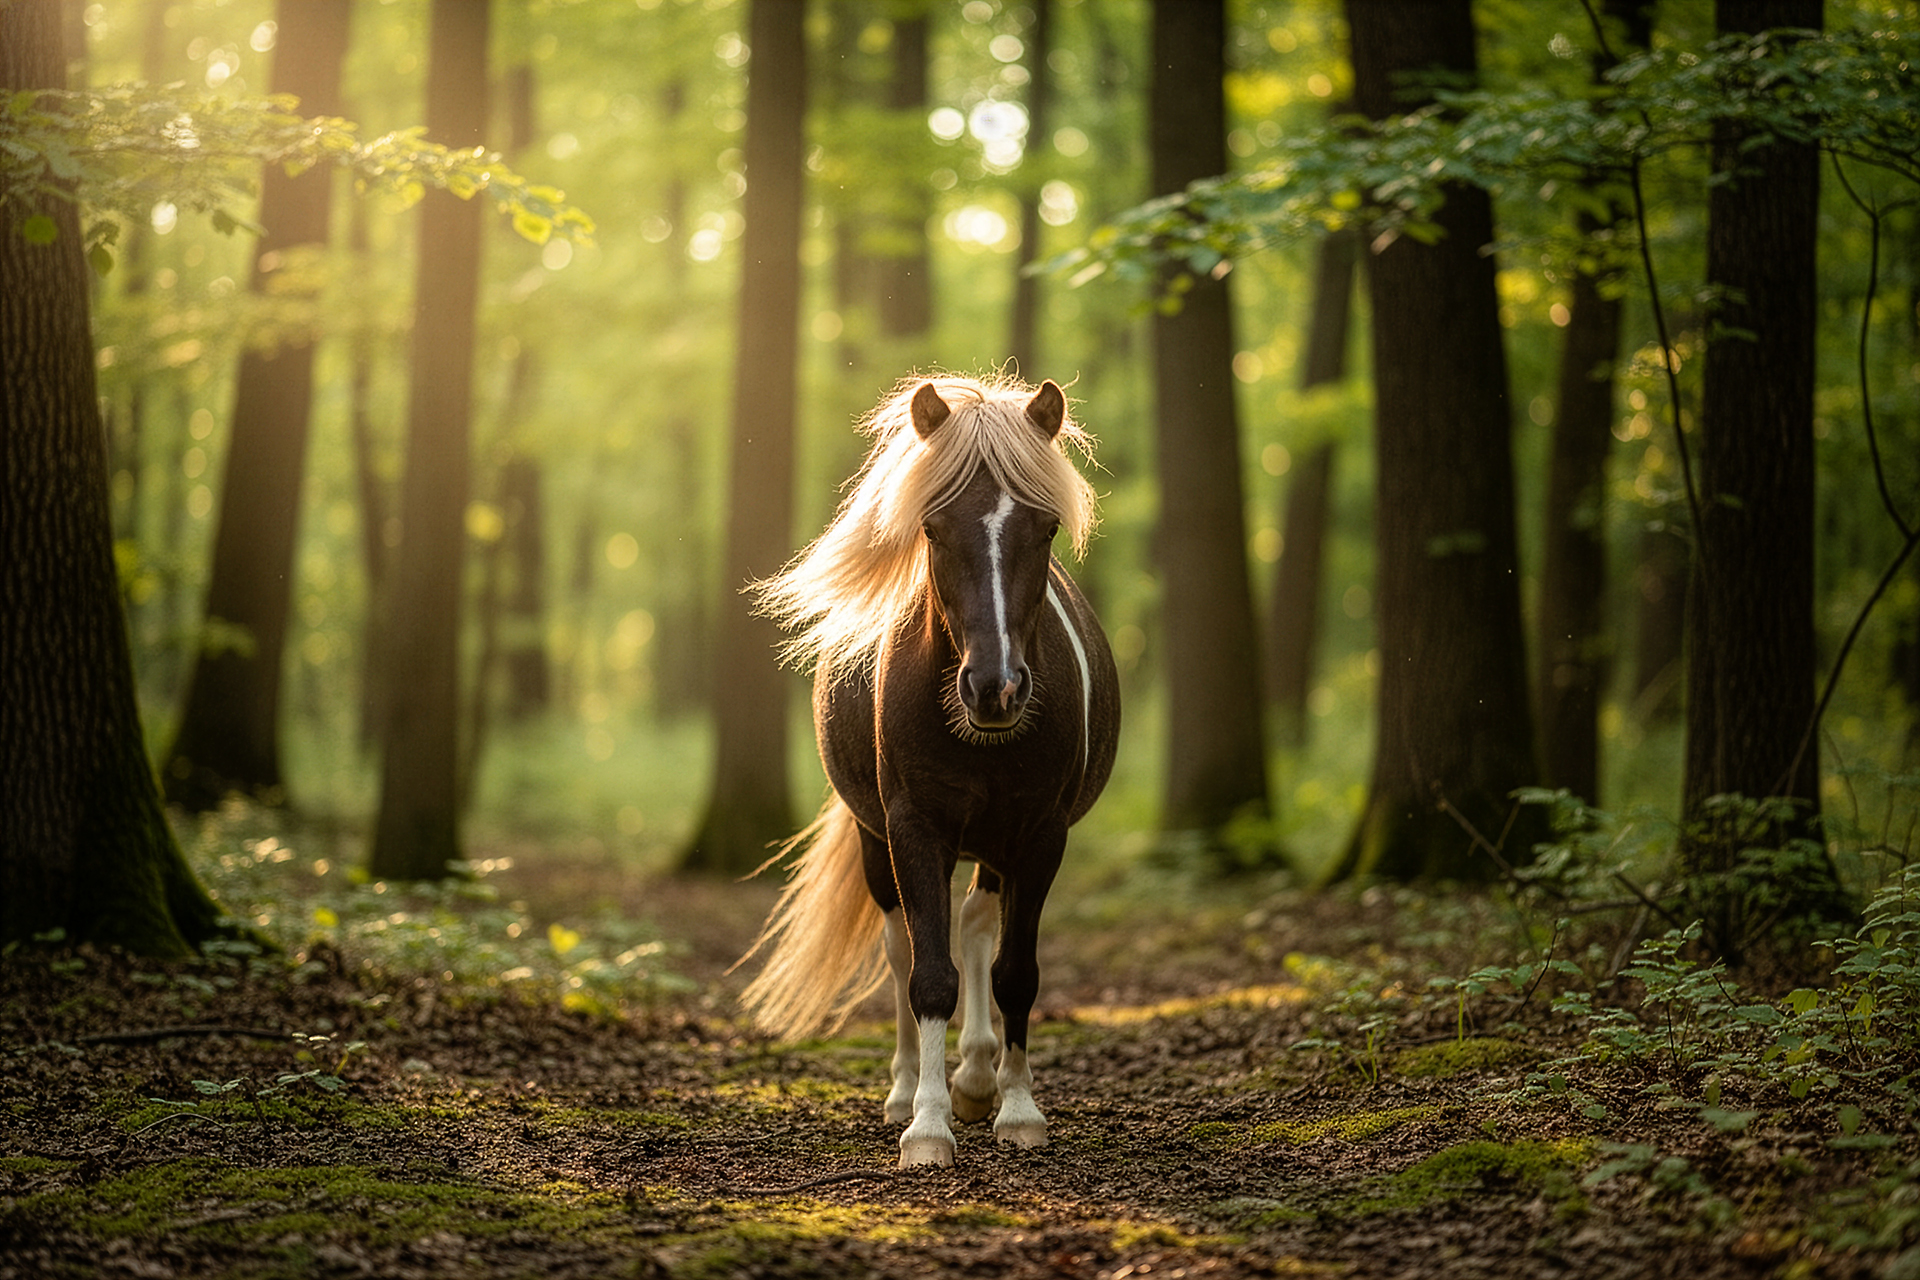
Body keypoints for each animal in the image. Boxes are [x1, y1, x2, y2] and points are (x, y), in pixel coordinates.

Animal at [737, 373, 1121, 1168]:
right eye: (935, 529)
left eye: (1045, 529)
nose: (995, 688)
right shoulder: (914, 829)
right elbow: (929, 977)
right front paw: (927, 1126)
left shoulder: (1040, 836)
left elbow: (1014, 973)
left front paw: (1017, 1108)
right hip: (876, 840)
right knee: (900, 949)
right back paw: (908, 1089)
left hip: (995, 845)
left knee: (975, 925)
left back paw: (976, 1077)